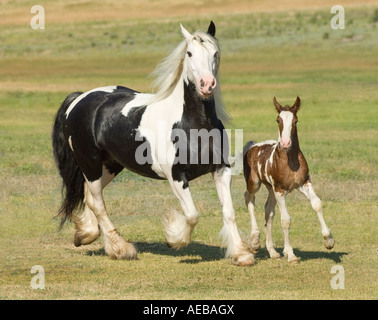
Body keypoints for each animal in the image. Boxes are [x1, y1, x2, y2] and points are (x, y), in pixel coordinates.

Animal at [52, 22, 254, 266]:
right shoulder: (176, 176)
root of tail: (80, 98)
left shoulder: (221, 169)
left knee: (90, 197)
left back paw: (86, 234)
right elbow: (192, 215)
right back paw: (121, 249)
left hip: (110, 166)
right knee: (98, 203)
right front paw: (174, 238)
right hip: (89, 164)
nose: (207, 85)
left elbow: (229, 212)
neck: (194, 123)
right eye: (189, 53)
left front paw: (242, 254)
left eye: (215, 53)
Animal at [242, 97, 334, 262]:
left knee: (268, 211)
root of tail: (252, 146)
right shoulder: (280, 189)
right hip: (255, 183)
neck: (290, 161)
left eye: (295, 120)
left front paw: (328, 240)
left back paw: (272, 251)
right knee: (249, 199)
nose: (285, 143)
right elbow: (286, 220)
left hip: (271, 188)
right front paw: (291, 254)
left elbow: (317, 204)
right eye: (278, 120)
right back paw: (255, 241)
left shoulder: (304, 183)